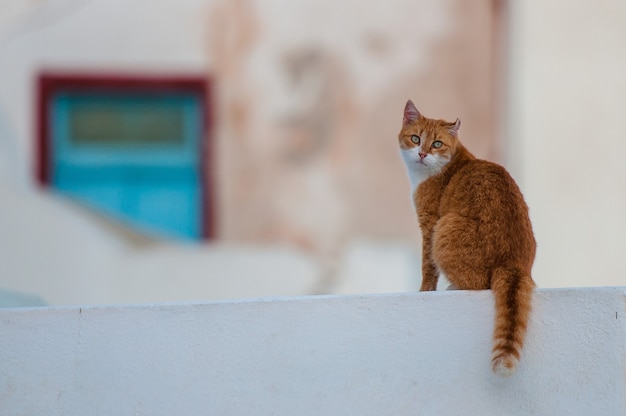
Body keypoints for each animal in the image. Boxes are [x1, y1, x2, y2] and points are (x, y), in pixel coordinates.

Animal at [398, 99, 532, 376]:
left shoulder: (429, 224)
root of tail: (512, 261)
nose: (422, 153)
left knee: (479, 283)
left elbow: (427, 266)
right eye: (416, 139)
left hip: (445, 228)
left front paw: (424, 291)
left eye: (437, 144)